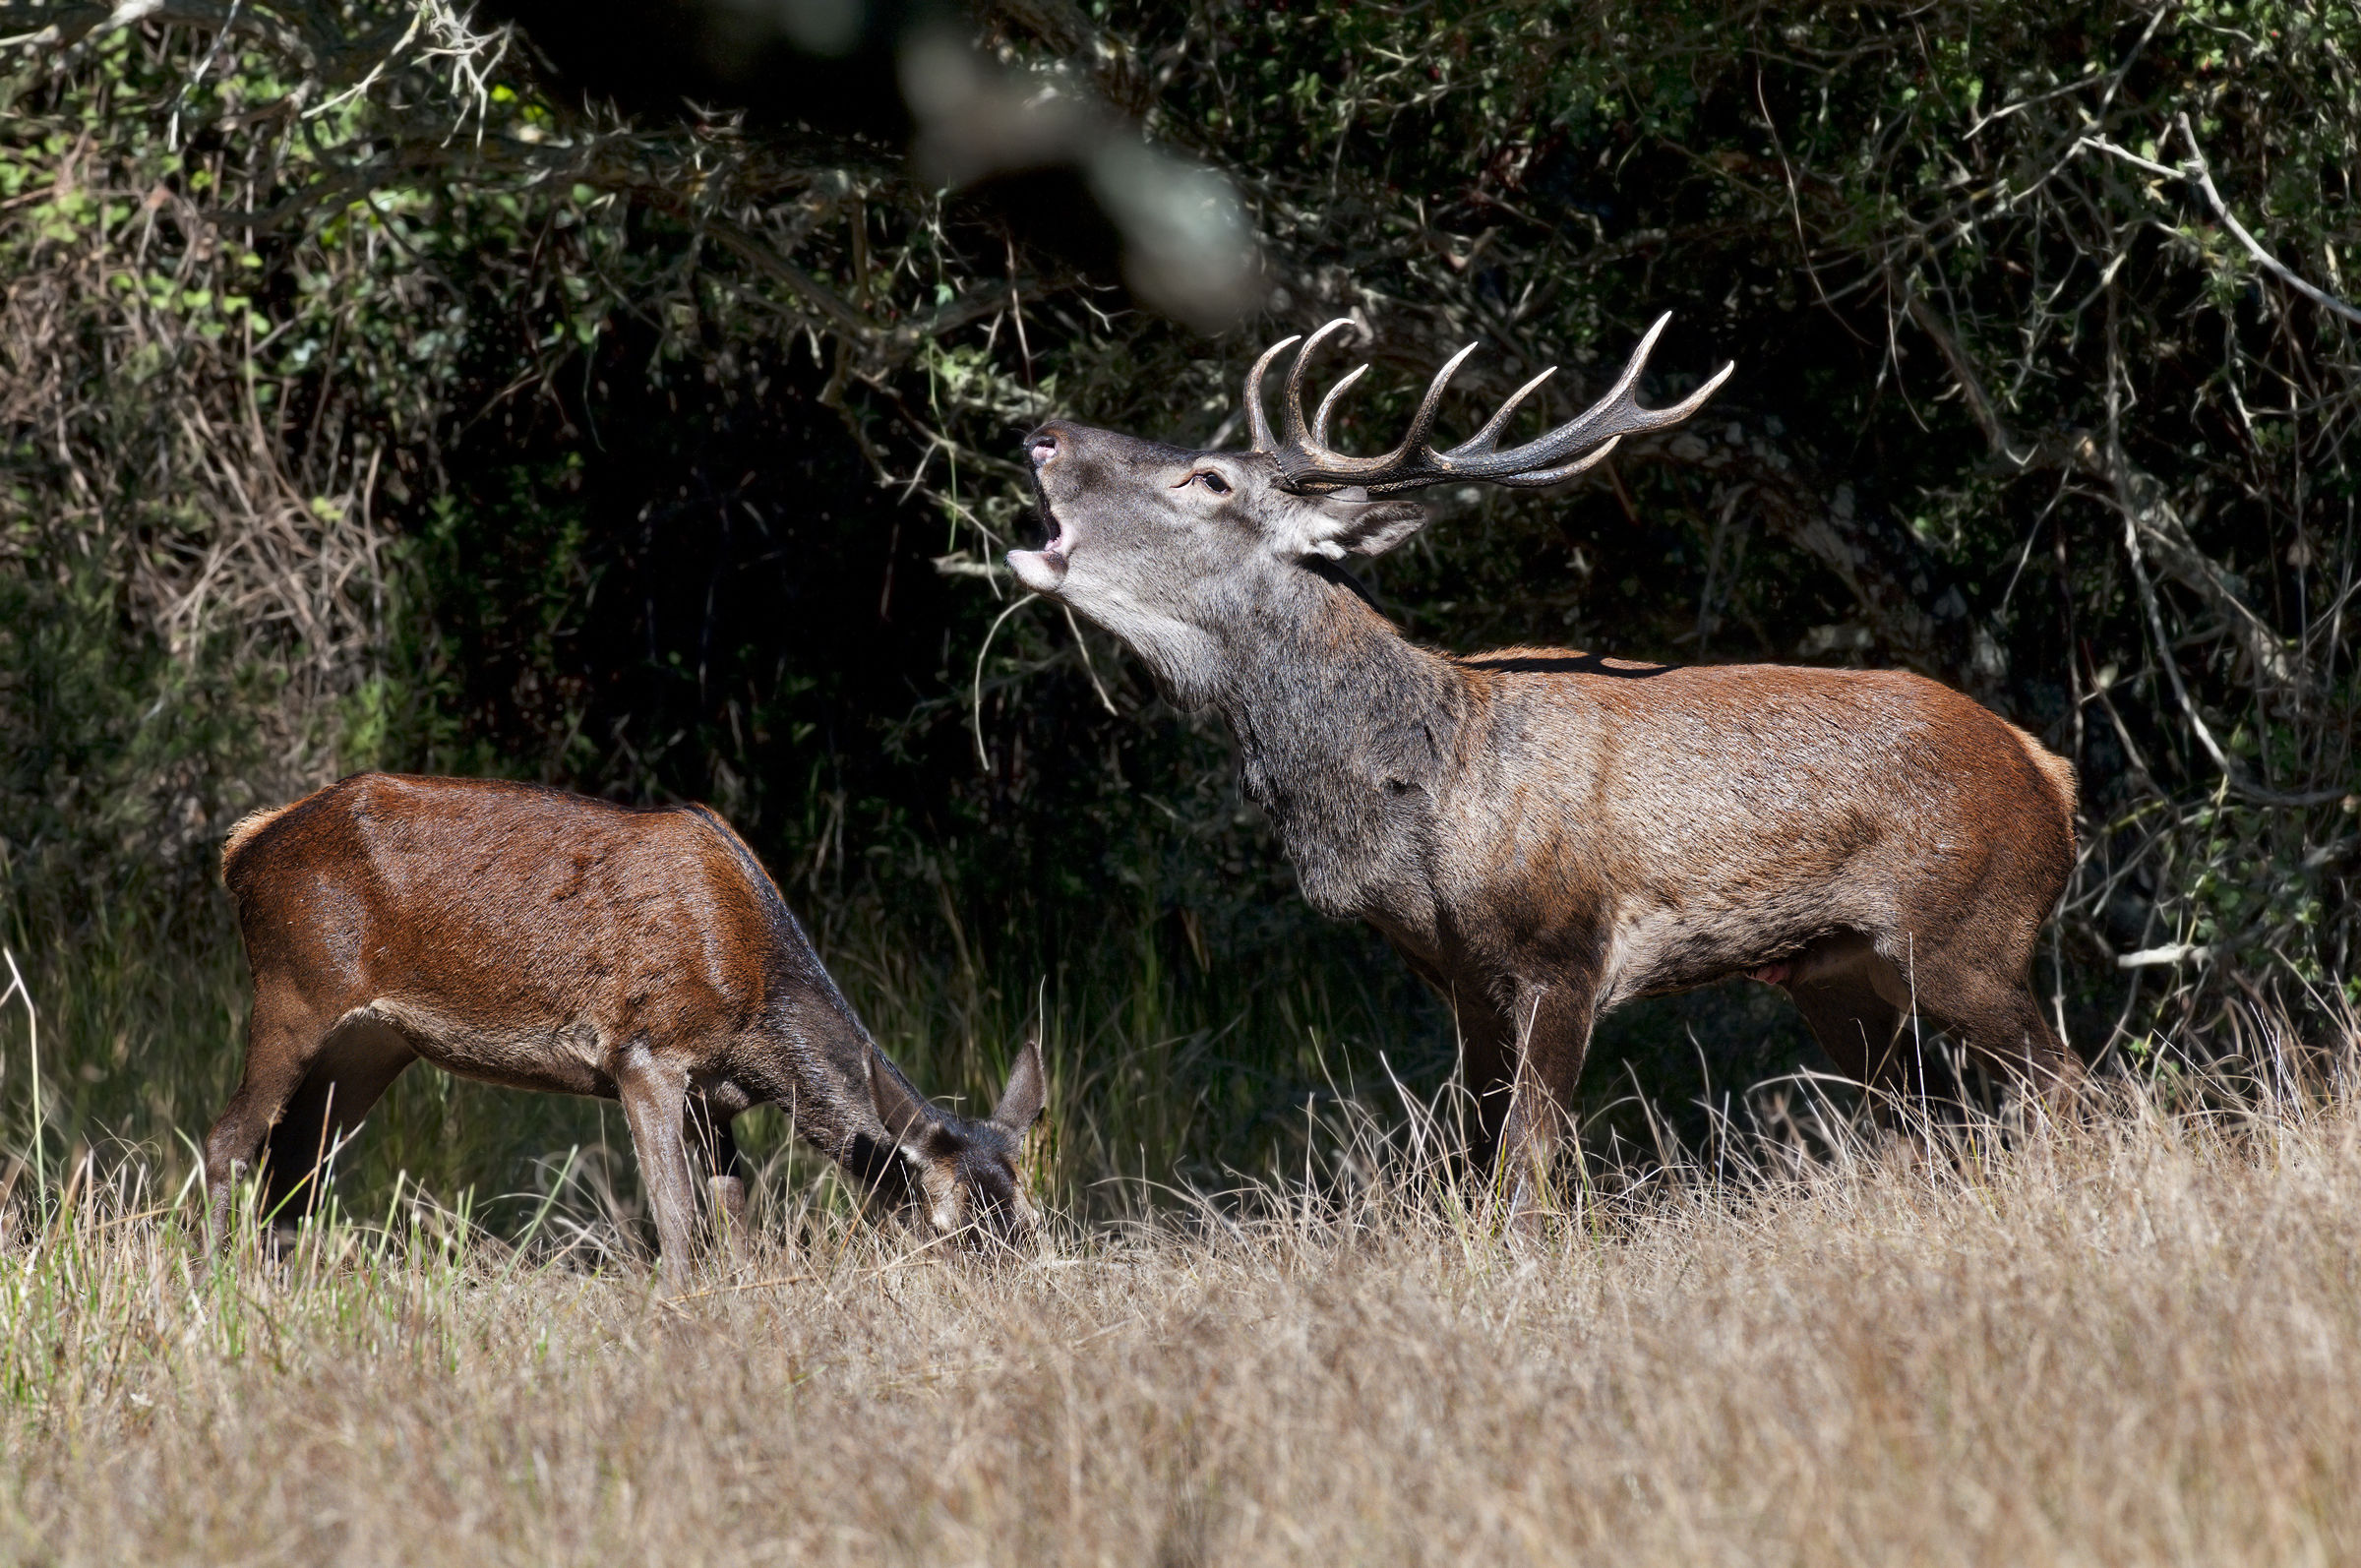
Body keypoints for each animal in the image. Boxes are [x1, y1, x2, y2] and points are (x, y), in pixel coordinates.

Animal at [204, 773, 1045, 1268]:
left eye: (1033, 1221)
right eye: (953, 1228)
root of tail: (243, 847)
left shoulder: (717, 1098)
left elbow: (737, 1220)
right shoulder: (644, 1052)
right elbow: (677, 1222)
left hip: (373, 1042)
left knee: (297, 1160)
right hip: (294, 989)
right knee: (232, 1138)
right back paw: (219, 1280)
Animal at [1009, 315, 2080, 1216]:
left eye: (1210, 480)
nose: (1043, 434)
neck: (1417, 808)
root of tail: (2048, 771)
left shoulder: (1564, 952)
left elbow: (1524, 1172)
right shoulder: (1459, 980)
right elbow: (1461, 1163)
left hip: (1968, 931)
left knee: (2071, 1086)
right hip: (1837, 971)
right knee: (1931, 1124)